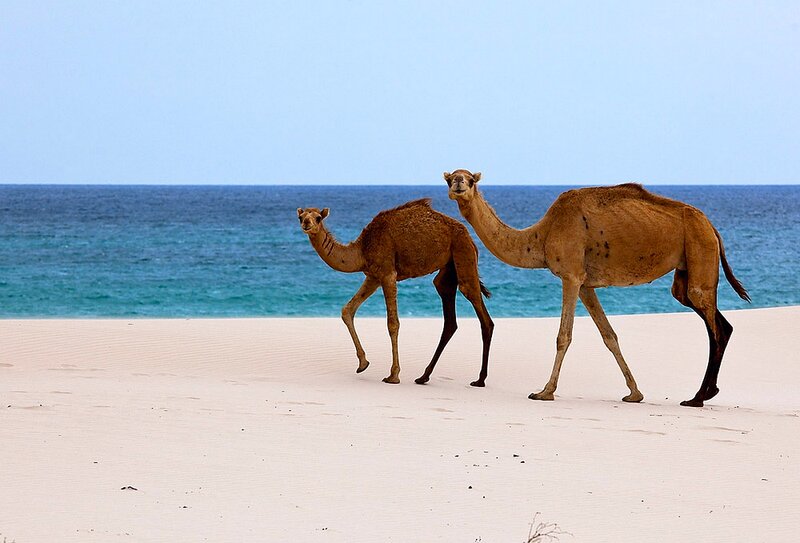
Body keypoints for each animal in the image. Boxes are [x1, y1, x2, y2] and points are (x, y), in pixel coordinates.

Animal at [297, 199, 494, 386]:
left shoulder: (388, 275)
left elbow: (393, 323)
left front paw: (393, 375)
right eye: (301, 216)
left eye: (318, 218)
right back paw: (423, 377)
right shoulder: (373, 277)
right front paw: (363, 364)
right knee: (448, 313)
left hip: (463, 253)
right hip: (449, 269)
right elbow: (347, 310)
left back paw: (480, 380)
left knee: (481, 313)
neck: (362, 249)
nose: (306, 223)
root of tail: (471, 239)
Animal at [445, 169, 750, 407]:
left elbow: (563, 336)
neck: (541, 236)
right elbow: (609, 335)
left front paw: (545, 392)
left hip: (700, 249)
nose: (458, 184)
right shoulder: (585, 284)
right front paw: (634, 394)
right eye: (450, 177)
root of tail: (711, 226)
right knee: (716, 321)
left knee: (714, 327)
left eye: (470, 179)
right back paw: (704, 393)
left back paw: (698, 397)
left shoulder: (570, 275)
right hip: (687, 270)